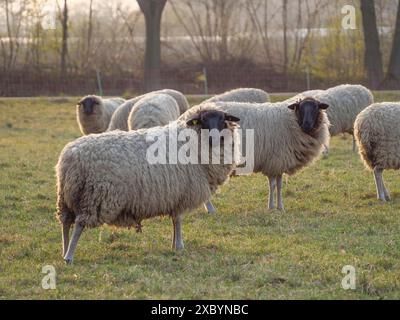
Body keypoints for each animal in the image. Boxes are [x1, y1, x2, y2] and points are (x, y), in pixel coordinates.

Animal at [183, 97, 330, 212]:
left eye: (316, 107)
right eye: (300, 108)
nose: (307, 125)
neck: (292, 121)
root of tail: (186, 115)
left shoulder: (276, 162)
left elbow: (277, 185)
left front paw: (278, 207)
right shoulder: (276, 160)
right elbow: (273, 185)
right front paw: (273, 207)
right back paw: (210, 209)